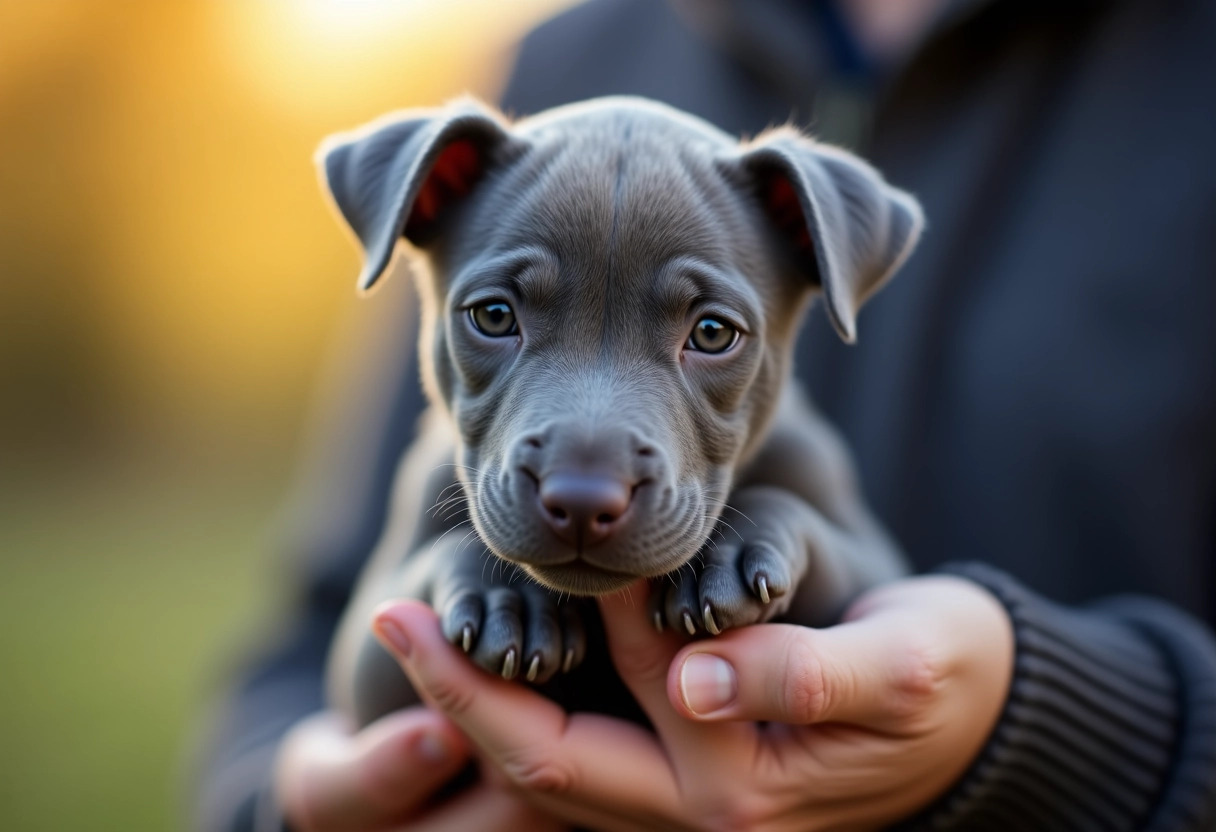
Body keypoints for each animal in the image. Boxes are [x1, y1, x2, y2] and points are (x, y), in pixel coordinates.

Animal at [321, 94, 919, 724]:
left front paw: (731, 555)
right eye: (493, 316)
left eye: (713, 333)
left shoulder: (872, 568)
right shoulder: (366, 669)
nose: (583, 501)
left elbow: (812, 528)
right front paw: (509, 597)